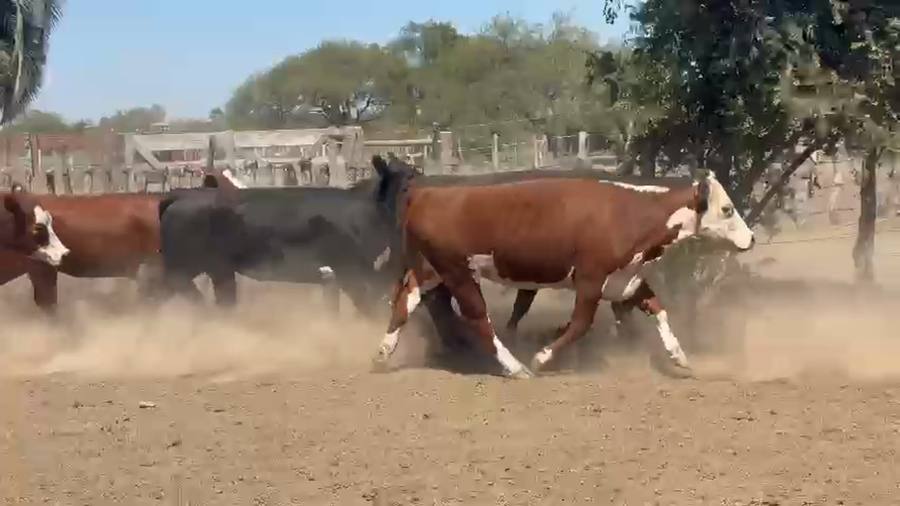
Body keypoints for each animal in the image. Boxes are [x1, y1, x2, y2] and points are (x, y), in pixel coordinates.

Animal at [372, 157, 755, 379]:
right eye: (726, 209)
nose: (751, 238)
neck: (630, 212)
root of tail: (425, 194)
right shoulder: (590, 279)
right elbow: (580, 324)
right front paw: (542, 359)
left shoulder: (626, 280)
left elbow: (659, 310)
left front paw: (679, 357)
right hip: (457, 272)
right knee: (478, 319)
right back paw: (516, 367)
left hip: (428, 269)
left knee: (404, 302)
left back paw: (383, 354)